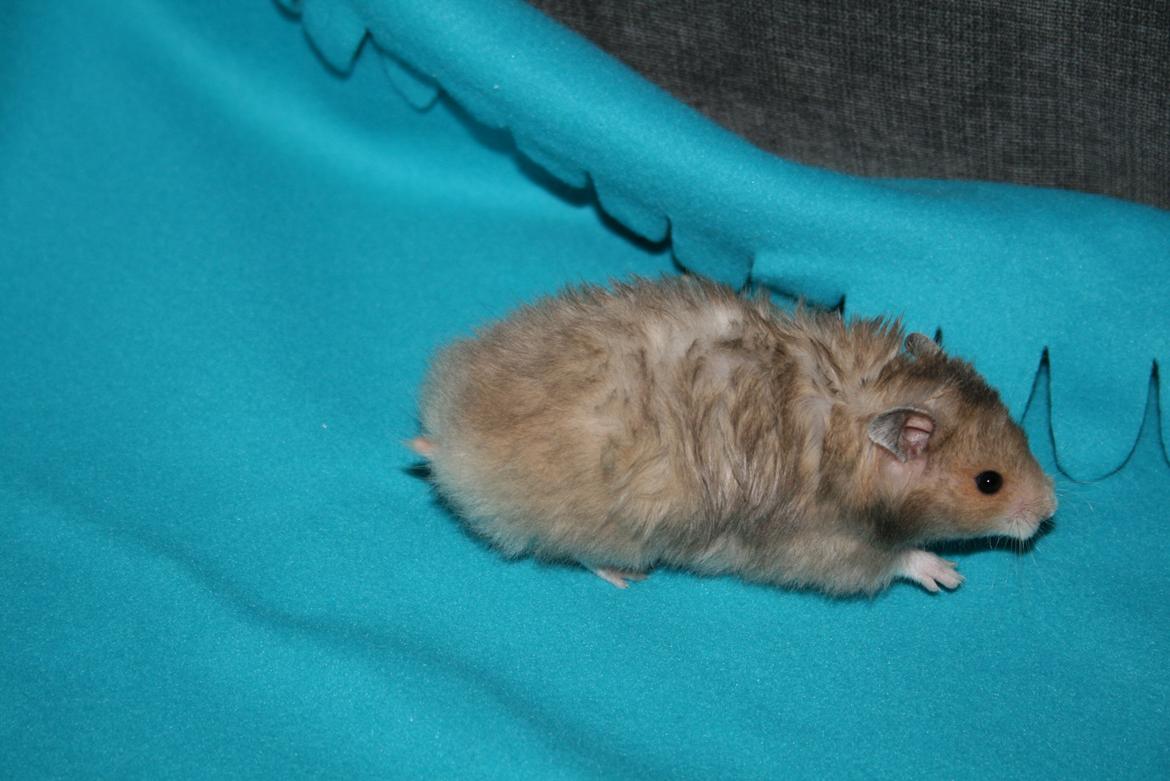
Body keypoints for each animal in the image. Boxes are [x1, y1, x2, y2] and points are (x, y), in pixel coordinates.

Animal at [411, 276, 1057, 596]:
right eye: (989, 483)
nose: (1052, 509)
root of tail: (445, 436)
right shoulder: (823, 548)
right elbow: (897, 558)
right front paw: (948, 575)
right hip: (602, 526)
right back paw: (626, 578)